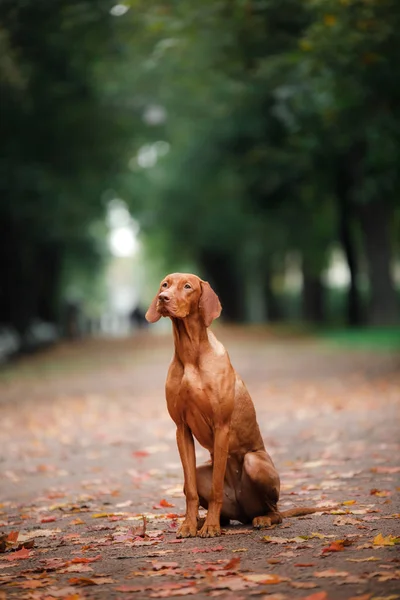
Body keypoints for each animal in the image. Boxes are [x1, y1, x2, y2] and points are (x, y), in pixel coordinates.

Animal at [147, 274, 328, 536]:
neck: (191, 354)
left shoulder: (221, 426)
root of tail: (243, 514)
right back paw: (205, 521)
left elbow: (216, 489)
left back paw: (258, 519)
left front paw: (210, 527)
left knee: (274, 510)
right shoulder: (182, 429)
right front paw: (189, 524)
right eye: (165, 285)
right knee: (216, 504)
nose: (163, 298)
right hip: (204, 473)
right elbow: (191, 490)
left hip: (255, 463)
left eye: (187, 286)